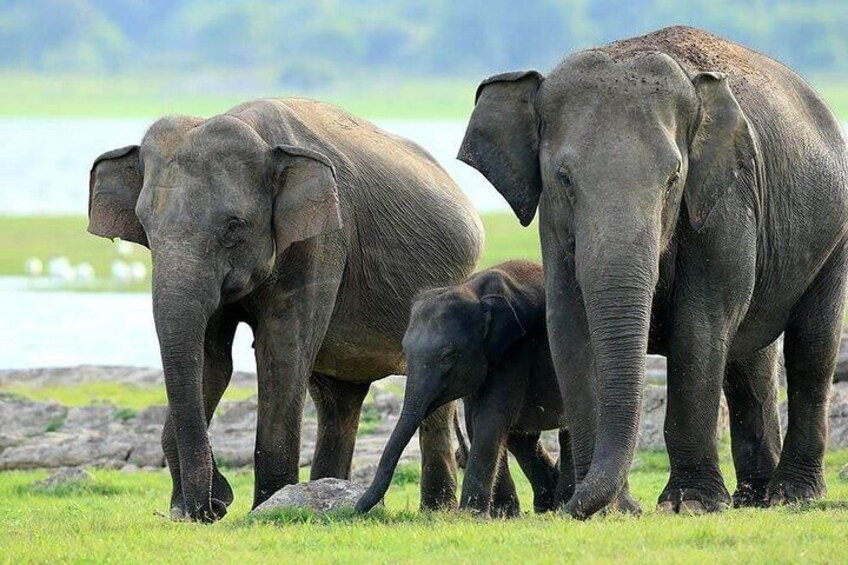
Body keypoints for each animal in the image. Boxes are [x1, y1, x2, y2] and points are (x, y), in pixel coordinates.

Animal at [88, 97, 484, 520]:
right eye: (145, 226)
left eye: (234, 226)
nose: (212, 505)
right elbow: (212, 361)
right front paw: (199, 508)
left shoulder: (322, 240)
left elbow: (282, 354)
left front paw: (265, 507)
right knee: (338, 399)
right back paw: (332, 491)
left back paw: (435, 511)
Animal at [354, 260, 640, 516]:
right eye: (405, 351)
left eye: (448, 355)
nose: (356, 509)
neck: (472, 290)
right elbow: (476, 421)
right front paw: (503, 513)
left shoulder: (515, 349)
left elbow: (490, 418)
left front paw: (471, 516)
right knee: (522, 438)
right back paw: (544, 504)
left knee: (564, 431)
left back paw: (560, 502)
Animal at [460, 26, 848, 520]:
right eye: (564, 178)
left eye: (673, 178)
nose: (561, 506)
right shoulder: (553, 224)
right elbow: (569, 328)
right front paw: (610, 509)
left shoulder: (723, 203)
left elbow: (699, 328)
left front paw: (691, 504)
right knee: (749, 361)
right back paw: (753, 498)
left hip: (834, 237)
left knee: (810, 349)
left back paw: (791, 495)